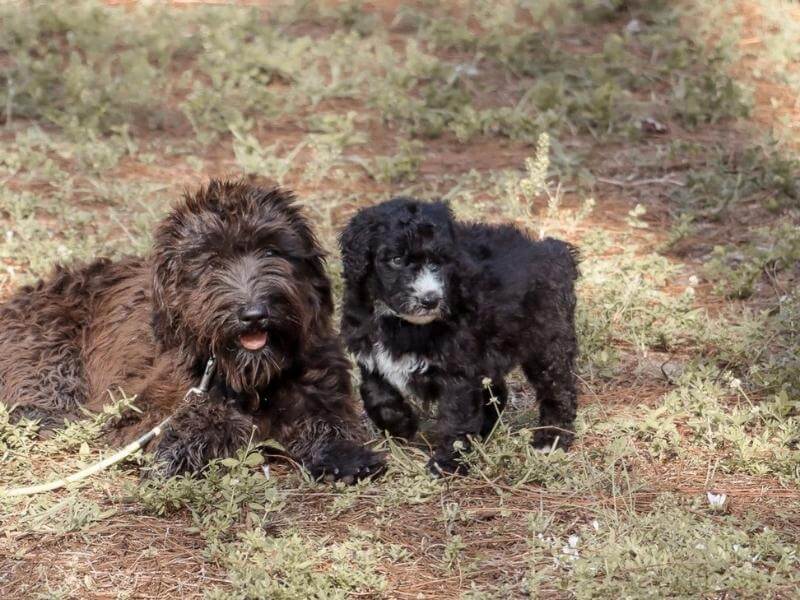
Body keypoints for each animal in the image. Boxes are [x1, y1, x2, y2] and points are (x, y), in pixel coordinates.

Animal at [340, 199, 580, 476]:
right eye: (396, 259)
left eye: (440, 261)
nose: (430, 300)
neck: (398, 321)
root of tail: (554, 252)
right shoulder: (371, 357)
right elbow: (377, 396)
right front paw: (402, 426)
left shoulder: (457, 370)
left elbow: (456, 417)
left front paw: (447, 463)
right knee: (497, 392)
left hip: (548, 340)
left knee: (557, 389)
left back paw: (551, 438)